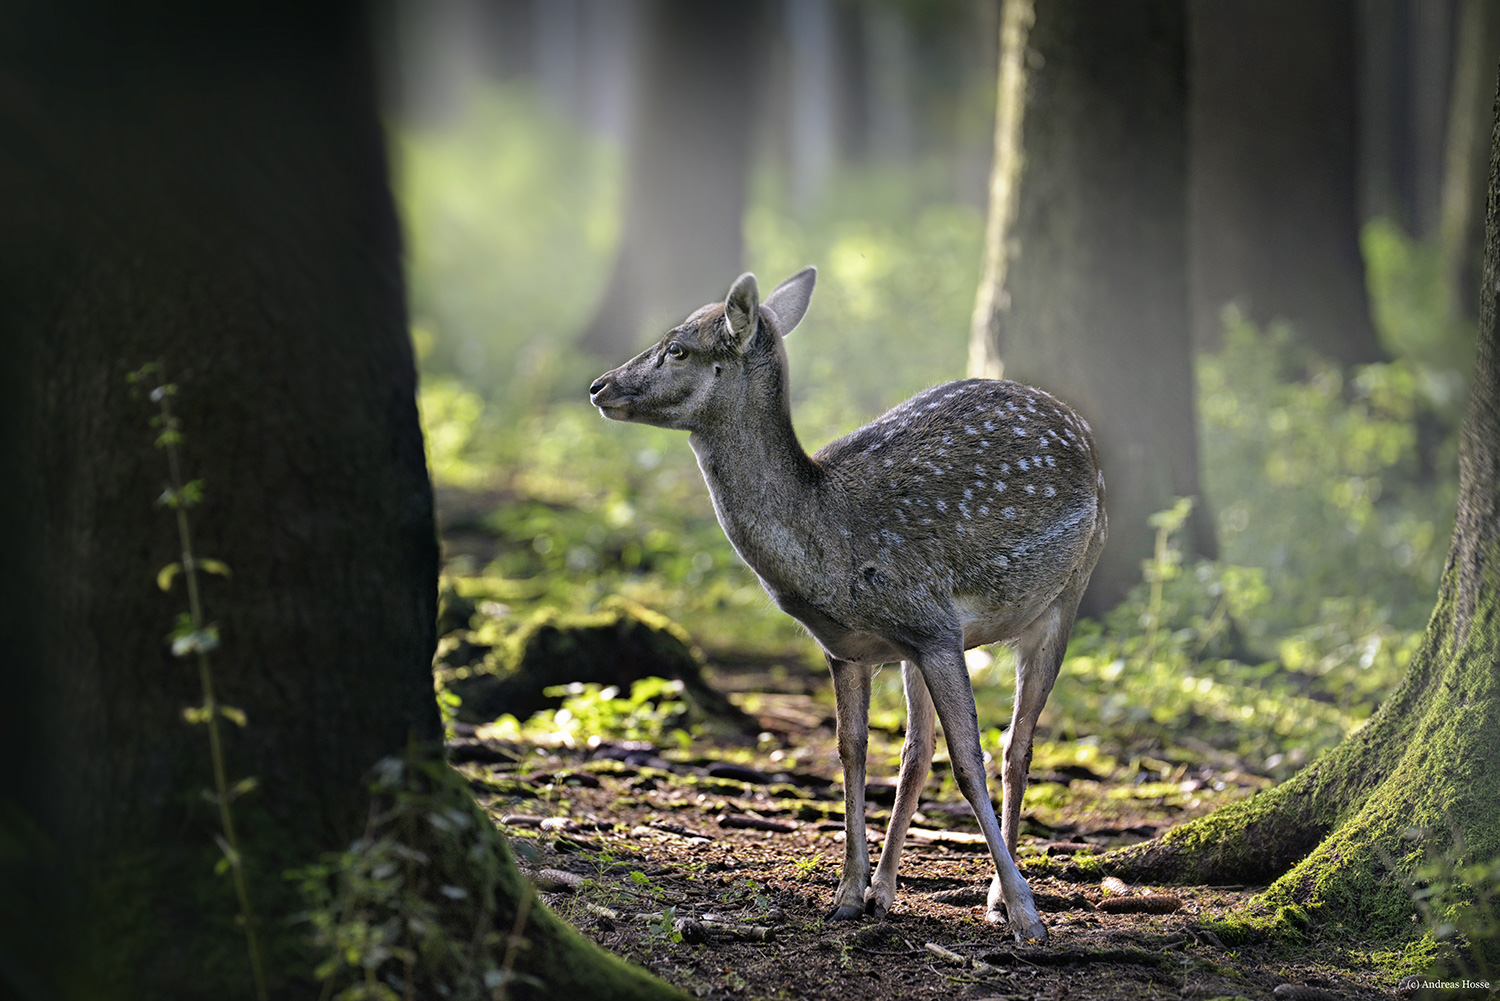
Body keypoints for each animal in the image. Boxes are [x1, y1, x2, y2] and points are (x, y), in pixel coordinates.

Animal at [591, 268, 1110, 948]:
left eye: (678, 347)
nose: (598, 385)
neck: (830, 548)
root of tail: (1077, 420)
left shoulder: (935, 627)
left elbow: (968, 762)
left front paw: (1026, 914)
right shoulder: (849, 649)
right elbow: (853, 752)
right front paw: (845, 895)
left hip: (1066, 592)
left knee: (1015, 747)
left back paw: (999, 898)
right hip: (921, 652)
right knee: (916, 752)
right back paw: (885, 891)